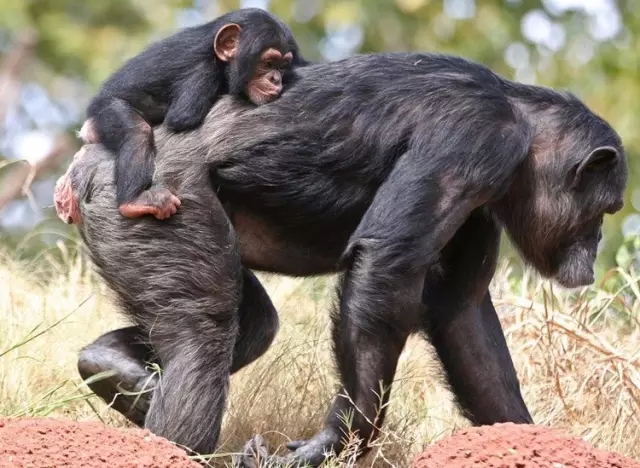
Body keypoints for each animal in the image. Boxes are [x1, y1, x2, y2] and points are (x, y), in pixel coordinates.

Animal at [53, 53, 624, 466]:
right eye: (606, 209)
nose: (595, 244)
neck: (523, 125)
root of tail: (86, 163)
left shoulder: (480, 209)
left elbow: (461, 315)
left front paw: (530, 440)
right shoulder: (476, 138)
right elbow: (387, 262)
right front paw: (336, 439)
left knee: (251, 324)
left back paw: (112, 368)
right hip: (157, 201)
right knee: (203, 330)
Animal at [80, 7, 308, 223]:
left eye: (283, 66)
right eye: (268, 63)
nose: (275, 79)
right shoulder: (201, 74)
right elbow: (182, 117)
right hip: (105, 109)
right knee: (137, 132)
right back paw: (134, 200)